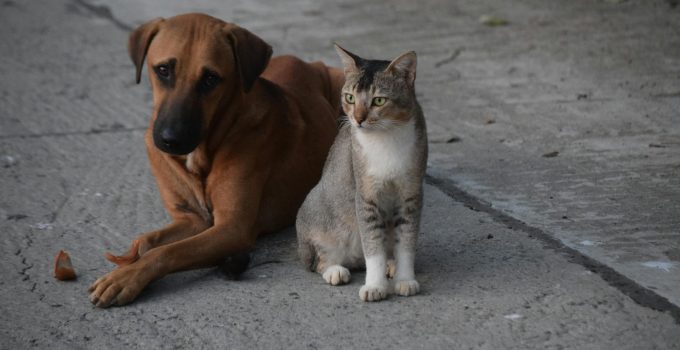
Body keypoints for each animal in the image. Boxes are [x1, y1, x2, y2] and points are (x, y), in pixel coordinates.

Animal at [89, 13, 346, 306]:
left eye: (210, 78)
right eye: (163, 70)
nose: (171, 140)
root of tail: (309, 62)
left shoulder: (232, 227)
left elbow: (169, 251)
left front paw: (127, 277)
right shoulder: (192, 220)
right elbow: (149, 240)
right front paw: (130, 260)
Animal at [296, 43, 428, 300]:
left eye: (379, 100)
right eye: (349, 98)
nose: (357, 119)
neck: (386, 138)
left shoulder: (411, 194)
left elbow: (406, 242)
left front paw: (405, 279)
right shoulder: (366, 195)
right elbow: (372, 245)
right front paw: (375, 286)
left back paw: (391, 264)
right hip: (317, 214)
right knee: (319, 261)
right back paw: (335, 271)